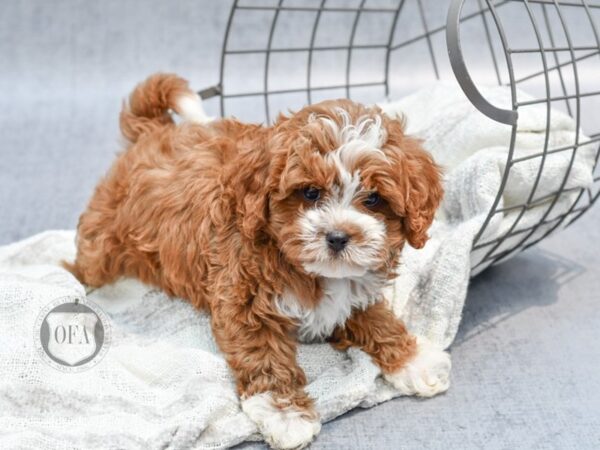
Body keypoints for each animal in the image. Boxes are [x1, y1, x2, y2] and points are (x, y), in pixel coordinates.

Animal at [65, 74, 450, 450]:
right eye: (310, 192)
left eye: (372, 199)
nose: (338, 237)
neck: (309, 269)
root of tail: (151, 131)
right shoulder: (243, 300)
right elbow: (264, 355)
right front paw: (286, 415)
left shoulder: (357, 293)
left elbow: (379, 321)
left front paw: (415, 360)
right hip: (104, 241)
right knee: (87, 263)